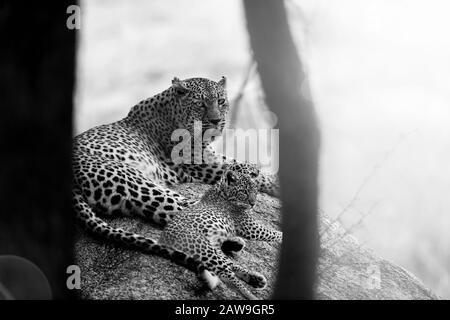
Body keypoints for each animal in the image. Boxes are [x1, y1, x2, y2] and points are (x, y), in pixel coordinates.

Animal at [72, 76, 280, 246]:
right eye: (201, 104)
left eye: (221, 102)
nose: (216, 121)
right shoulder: (205, 164)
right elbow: (251, 171)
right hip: (133, 181)